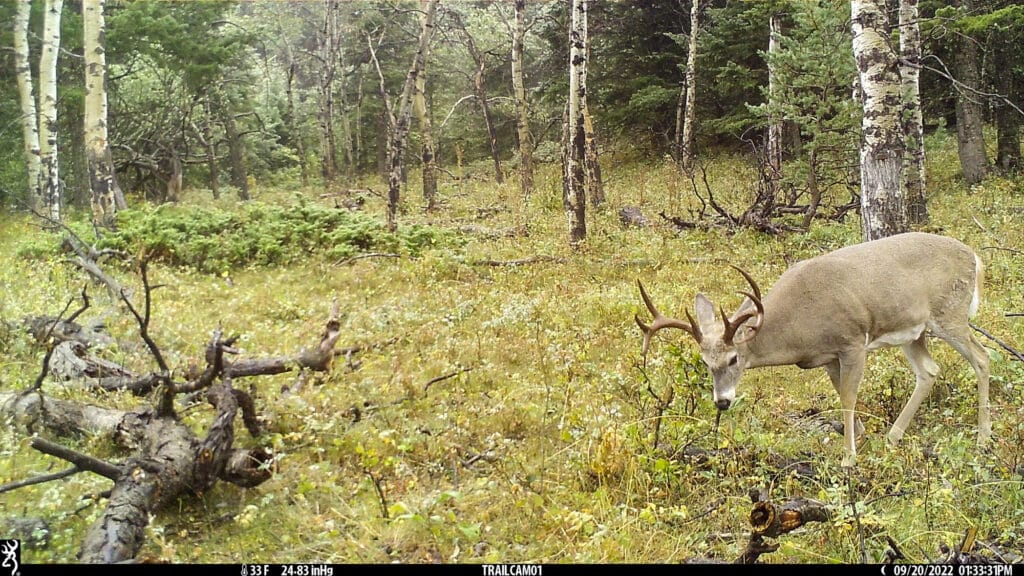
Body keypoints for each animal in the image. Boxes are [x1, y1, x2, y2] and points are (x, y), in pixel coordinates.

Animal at [635, 231, 991, 467]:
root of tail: (974, 256)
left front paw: (849, 457)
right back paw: (893, 437)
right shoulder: (826, 356)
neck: (800, 324)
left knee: (982, 357)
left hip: (950, 314)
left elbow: (848, 397)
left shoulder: (852, 341)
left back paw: (982, 438)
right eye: (706, 362)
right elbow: (840, 393)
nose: (722, 402)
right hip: (913, 332)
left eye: (734, 358)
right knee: (929, 371)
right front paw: (860, 437)